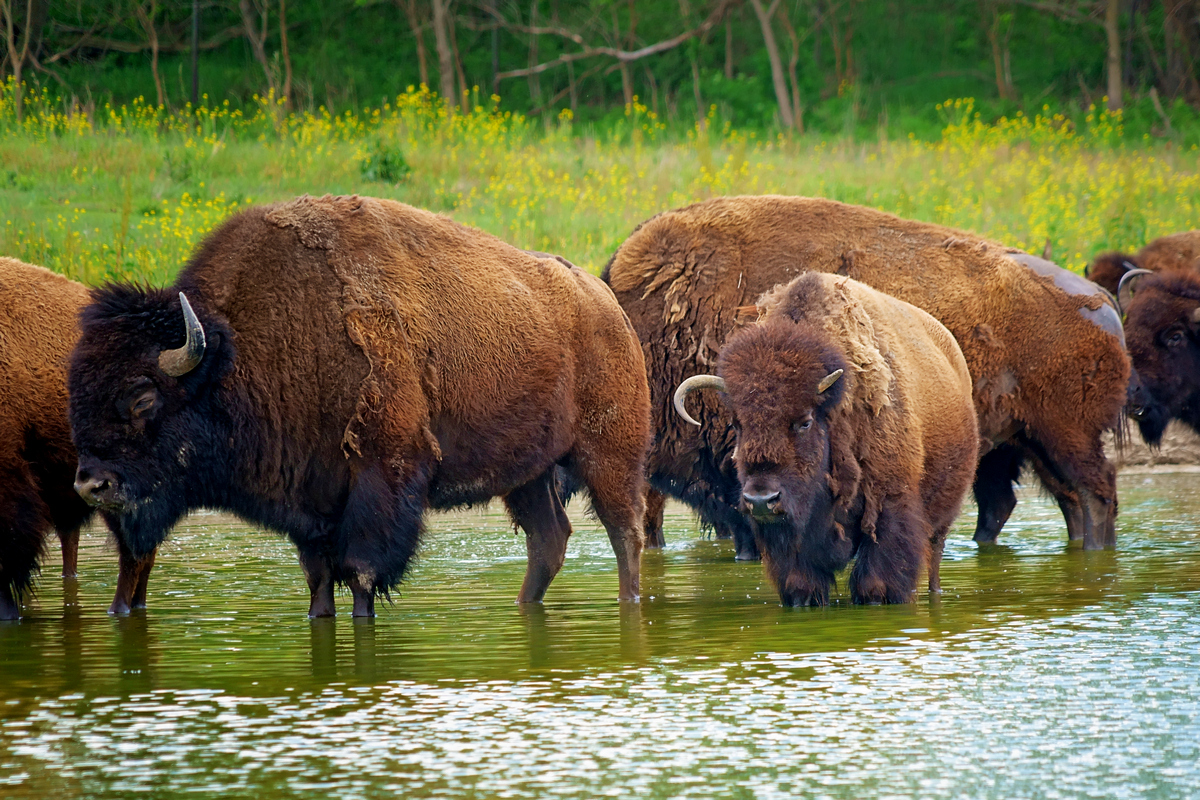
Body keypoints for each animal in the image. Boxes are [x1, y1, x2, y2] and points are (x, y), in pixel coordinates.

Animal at [70, 195, 652, 618]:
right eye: (76, 393)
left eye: (143, 397)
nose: (92, 484)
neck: (236, 351)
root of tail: (605, 302)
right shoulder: (310, 507)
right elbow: (319, 580)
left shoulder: (380, 477)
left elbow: (362, 574)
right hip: (526, 474)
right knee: (548, 539)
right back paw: (523, 606)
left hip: (608, 456)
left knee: (625, 533)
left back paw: (629, 603)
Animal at [672, 272, 979, 604]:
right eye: (737, 424)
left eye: (805, 422)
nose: (761, 500)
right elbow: (802, 587)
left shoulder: (889, 505)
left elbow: (876, 585)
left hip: (942, 520)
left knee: (934, 558)